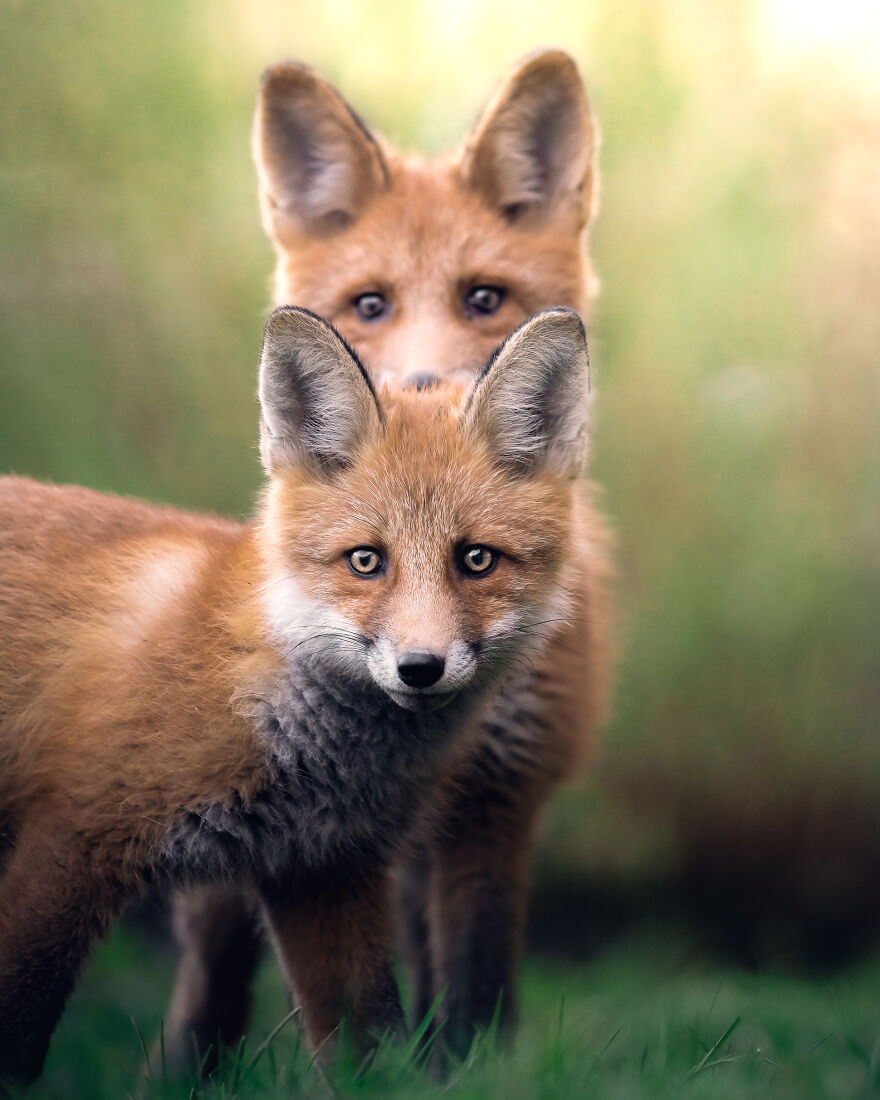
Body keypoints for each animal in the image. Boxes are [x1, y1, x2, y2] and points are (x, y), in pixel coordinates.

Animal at [0, 305, 596, 1088]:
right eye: (366, 561)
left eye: (476, 560)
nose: (421, 668)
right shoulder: (69, 842)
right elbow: (17, 1028)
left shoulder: (322, 873)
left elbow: (369, 1047)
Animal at [165, 48, 611, 1065]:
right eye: (369, 305)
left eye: (484, 299)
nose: (420, 399)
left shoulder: (495, 801)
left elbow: (475, 992)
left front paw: (471, 1070)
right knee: (205, 981)